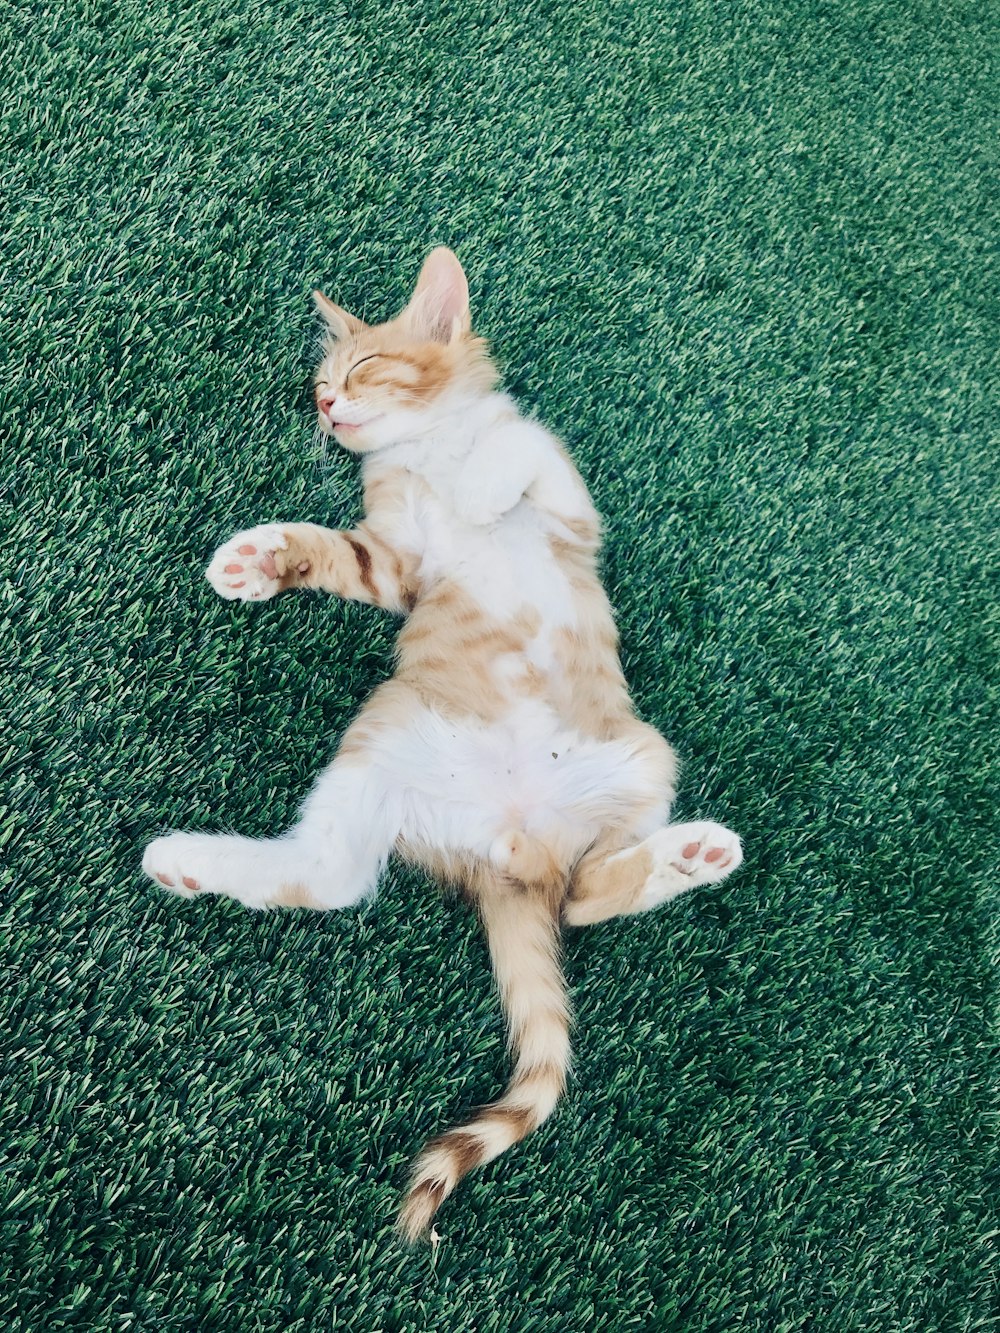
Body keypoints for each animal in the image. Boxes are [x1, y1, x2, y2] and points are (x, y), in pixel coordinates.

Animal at [146, 247, 746, 1237]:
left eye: (357, 369)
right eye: (320, 387)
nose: (328, 408)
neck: (427, 447)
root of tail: (510, 849)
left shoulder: (568, 506)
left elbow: (519, 452)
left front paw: (478, 482)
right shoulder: (398, 559)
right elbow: (339, 549)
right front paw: (260, 559)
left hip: (643, 756)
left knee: (580, 895)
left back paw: (686, 855)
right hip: (387, 732)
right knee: (347, 875)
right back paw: (185, 860)